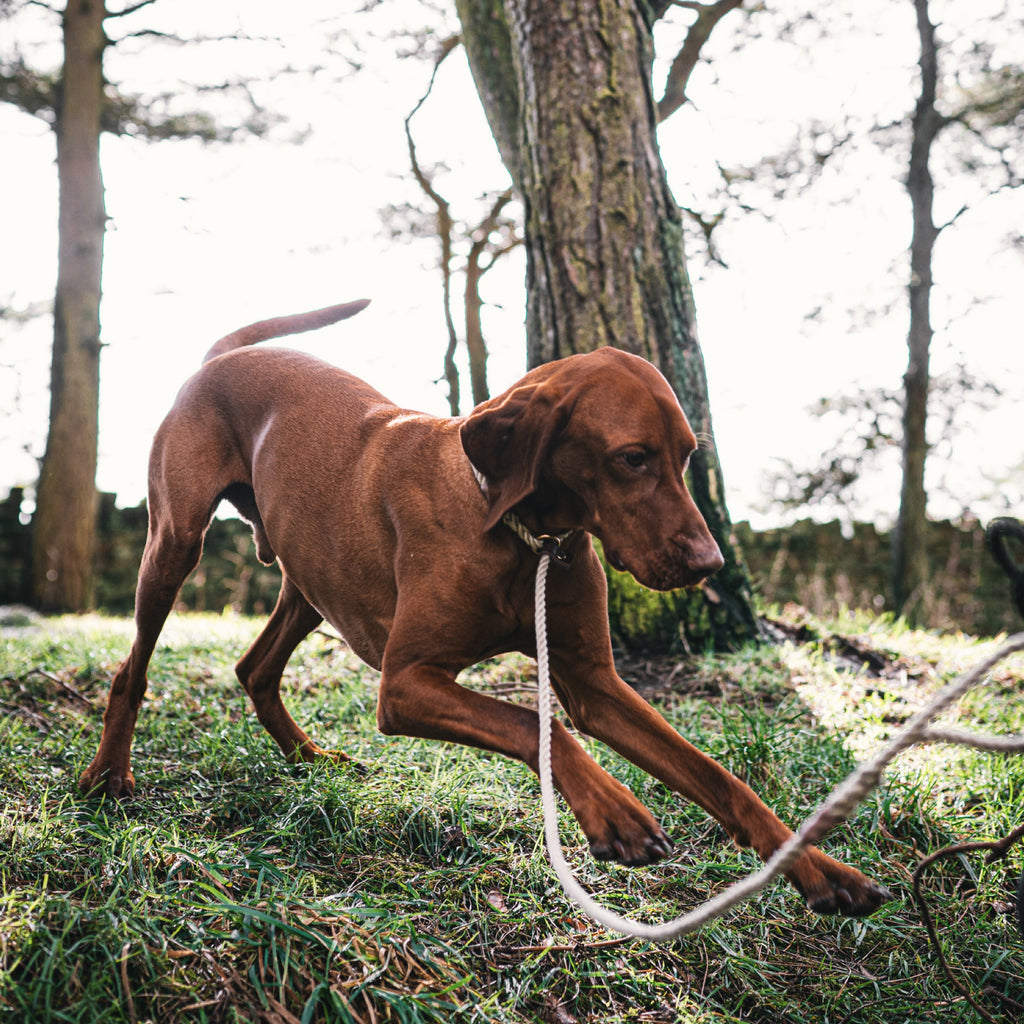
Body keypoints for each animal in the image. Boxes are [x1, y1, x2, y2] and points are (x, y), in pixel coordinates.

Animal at [81, 299, 888, 917]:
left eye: (688, 454)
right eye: (632, 458)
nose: (710, 564)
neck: (522, 532)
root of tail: (221, 359)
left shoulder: (596, 684)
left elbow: (716, 775)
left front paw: (822, 871)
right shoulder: (406, 683)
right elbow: (538, 726)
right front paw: (617, 812)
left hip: (311, 577)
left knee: (255, 667)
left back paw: (308, 758)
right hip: (175, 544)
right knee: (134, 669)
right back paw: (108, 778)